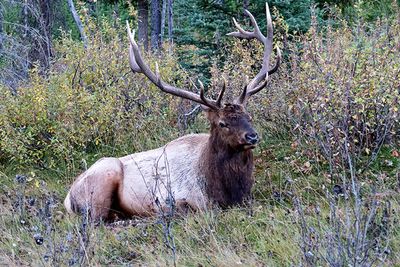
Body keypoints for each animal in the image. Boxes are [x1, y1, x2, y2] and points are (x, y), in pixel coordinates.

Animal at [64, 3, 280, 222]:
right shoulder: (170, 198)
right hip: (104, 178)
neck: (222, 189)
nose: (252, 136)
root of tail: (68, 196)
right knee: (96, 219)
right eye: (222, 123)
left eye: (249, 117)